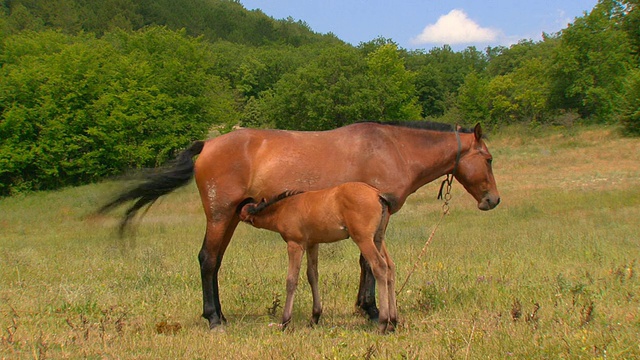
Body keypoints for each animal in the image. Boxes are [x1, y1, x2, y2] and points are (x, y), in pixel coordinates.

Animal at [238, 183, 396, 332]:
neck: (285, 207)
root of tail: (377, 194)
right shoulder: (312, 244)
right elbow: (312, 275)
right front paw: (314, 317)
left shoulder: (295, 244)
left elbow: (291, 280)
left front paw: (285, 321)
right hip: (378, 239)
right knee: (390, 266)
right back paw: (393, 322)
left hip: (363, 239)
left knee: (379, 266)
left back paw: (383, 323)